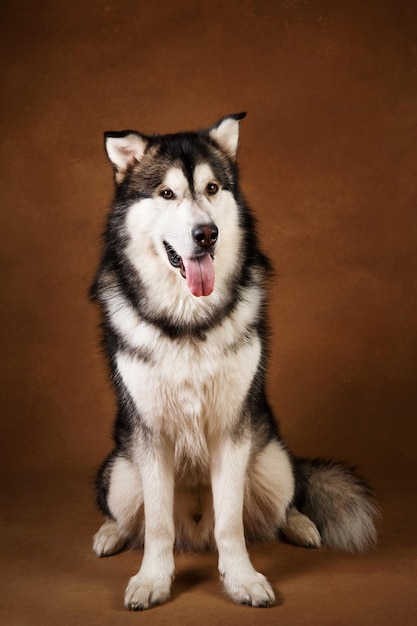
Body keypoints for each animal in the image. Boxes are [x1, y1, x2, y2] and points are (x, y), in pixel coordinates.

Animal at [91, 112, 376, 608]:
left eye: (212, 188)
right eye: (166, 193)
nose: (207, 234)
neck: (188, 322)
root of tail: (195, 532)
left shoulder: (231, 430)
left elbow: (231, 522)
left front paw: (242, 579)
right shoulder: (151, 436)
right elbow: (158, 525)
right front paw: (152, 580)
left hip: (274, 461)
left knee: (284, 503)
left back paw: (302, 525)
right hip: (121, 473)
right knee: (128, 517)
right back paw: (111, 534)